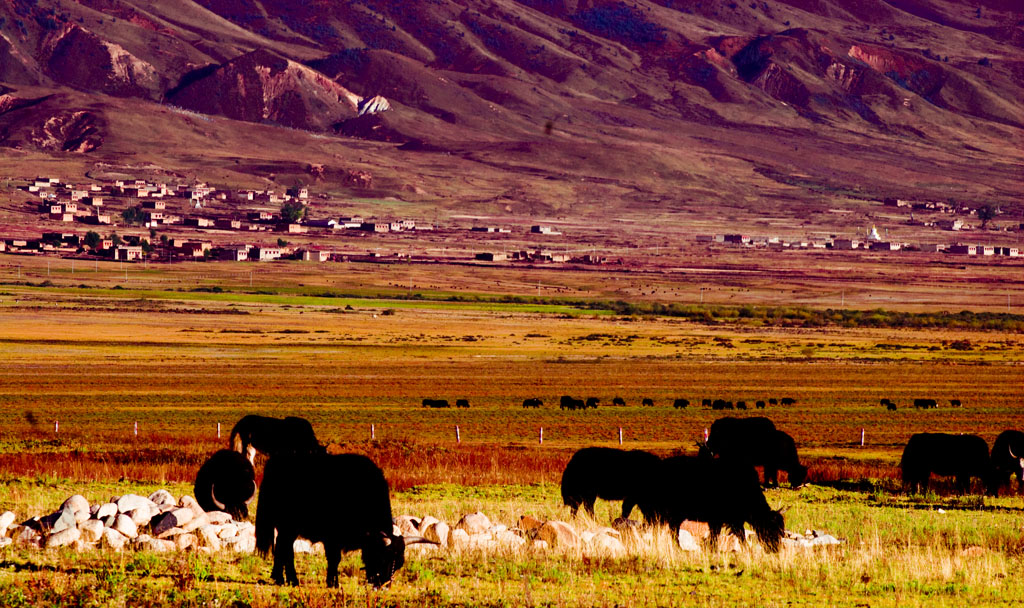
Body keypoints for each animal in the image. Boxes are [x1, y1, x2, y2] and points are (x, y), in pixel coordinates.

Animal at [256, 452, 436, 585]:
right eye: (383, 558)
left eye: (398, 563)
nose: (383, 585)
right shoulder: (332, 538)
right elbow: (334, 559)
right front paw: (333, 583)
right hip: (288, 526)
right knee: (285, 548)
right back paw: (291, 580)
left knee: (281, 547)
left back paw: (279, 578)